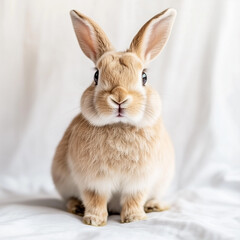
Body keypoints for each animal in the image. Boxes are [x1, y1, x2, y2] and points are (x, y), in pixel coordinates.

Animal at [52, 7, 176, 225]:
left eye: (144, 77)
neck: (119, 126)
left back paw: (154, 206)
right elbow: (96, 198)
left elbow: (134, 198)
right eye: (96, 76)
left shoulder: (139, 182)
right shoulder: (93, 182)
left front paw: (134, 218)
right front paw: (94, 220)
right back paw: (77, 207)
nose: (119, 98)